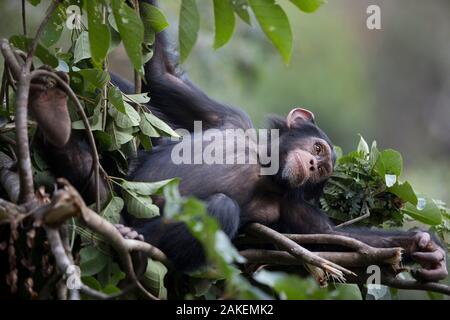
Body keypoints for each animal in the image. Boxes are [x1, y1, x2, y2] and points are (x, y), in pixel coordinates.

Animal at [37, 0, 446, 280]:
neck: (265, 166)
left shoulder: (293, 209)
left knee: (219, 209)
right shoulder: (228, 118)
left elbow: (329, 240)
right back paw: (53, 113)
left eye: (322, 170)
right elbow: (163, 75)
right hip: (110, 196)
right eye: (318, 151)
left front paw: (424, 247)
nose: (314, 164)